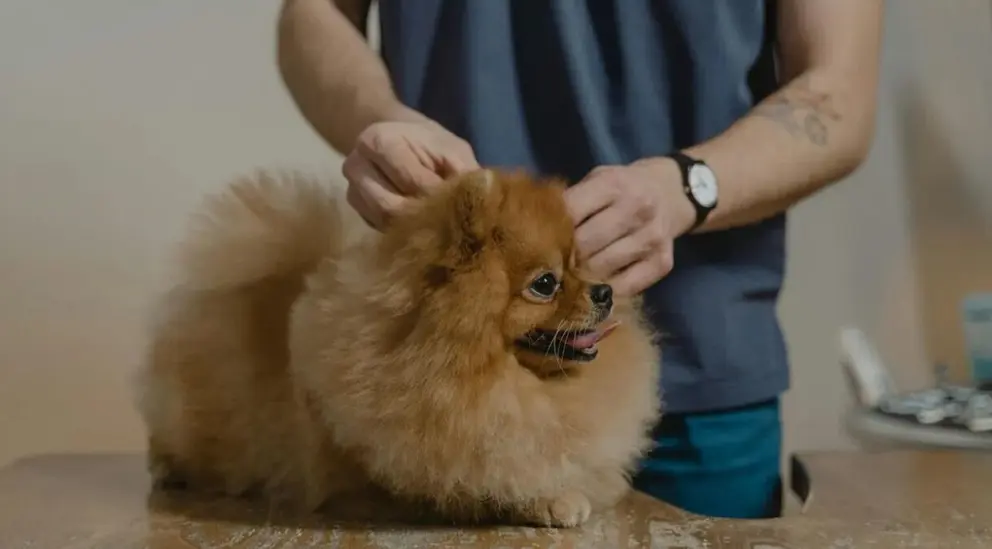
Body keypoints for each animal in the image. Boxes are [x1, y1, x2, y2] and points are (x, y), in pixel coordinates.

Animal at [132, 168, 660, 528]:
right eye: (546, 283)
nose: (605, 292)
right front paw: (549, 499)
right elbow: (481, 480)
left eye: (580, 264)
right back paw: (167, 468)